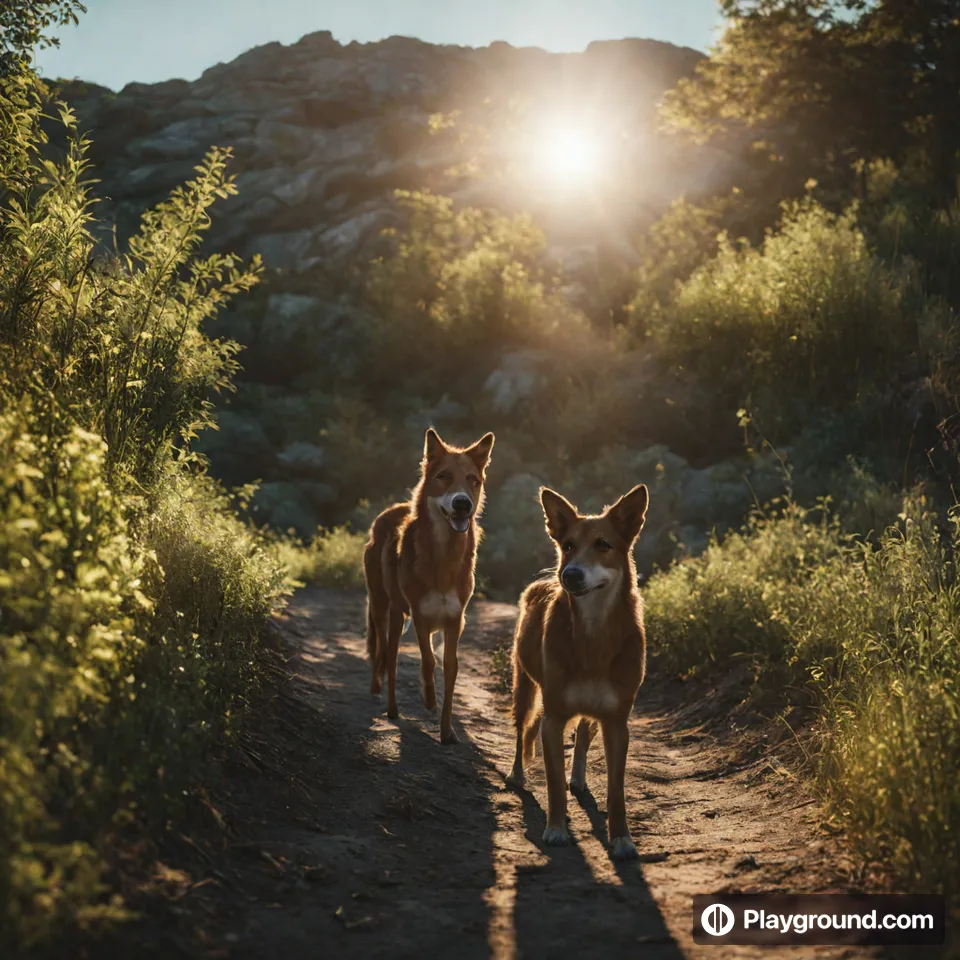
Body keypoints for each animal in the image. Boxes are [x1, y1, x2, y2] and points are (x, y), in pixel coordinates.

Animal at [362, 428, 496, 744]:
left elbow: (450, 670)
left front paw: (447, 731)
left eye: (473, 480)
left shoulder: (455, 622)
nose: (463, 503)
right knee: (386, 656)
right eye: (444, 476)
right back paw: (389, 705)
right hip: (386, 612)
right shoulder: (420, 617)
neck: (444, 558)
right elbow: (427, 662)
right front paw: (428, 700)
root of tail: (389, 511)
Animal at [506, 484, 648, 860]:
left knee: (583, 737)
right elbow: (553, 784)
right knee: (522, 730)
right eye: (568, 544)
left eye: (603, 544)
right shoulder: (554, 717)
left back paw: (579, 779)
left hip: (593, 714)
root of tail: (541, 582)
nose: (569, 574)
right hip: (524, 688)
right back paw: (517, 775)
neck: (594, 635)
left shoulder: (616, 722)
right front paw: (556, 828)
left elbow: (617, 789)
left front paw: (621, 838)